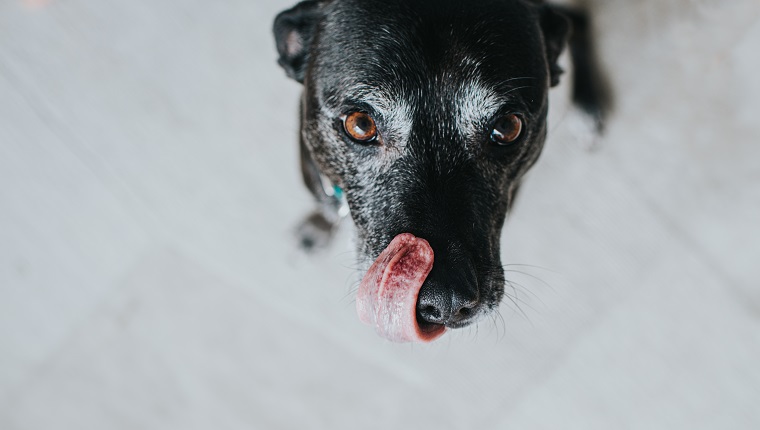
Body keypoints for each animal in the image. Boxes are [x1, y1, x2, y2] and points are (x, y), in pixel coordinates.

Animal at [274, 0, 612, 342]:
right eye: (360, 124)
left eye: (507, 127)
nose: (445, 301)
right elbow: (326, 206)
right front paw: (316, 229)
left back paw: (586, 107)